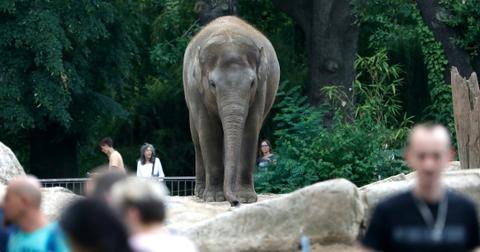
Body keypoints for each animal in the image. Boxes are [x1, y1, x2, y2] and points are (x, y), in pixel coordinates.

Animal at [184, 15, 282, 205]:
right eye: (212, 84)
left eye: (252, 83)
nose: (234, 202)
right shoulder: (196, 91)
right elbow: (208, 131)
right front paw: (214, 198)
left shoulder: (261, 88)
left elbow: (250, 129)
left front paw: (246, 198)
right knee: (197, 139)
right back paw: (200, 193)